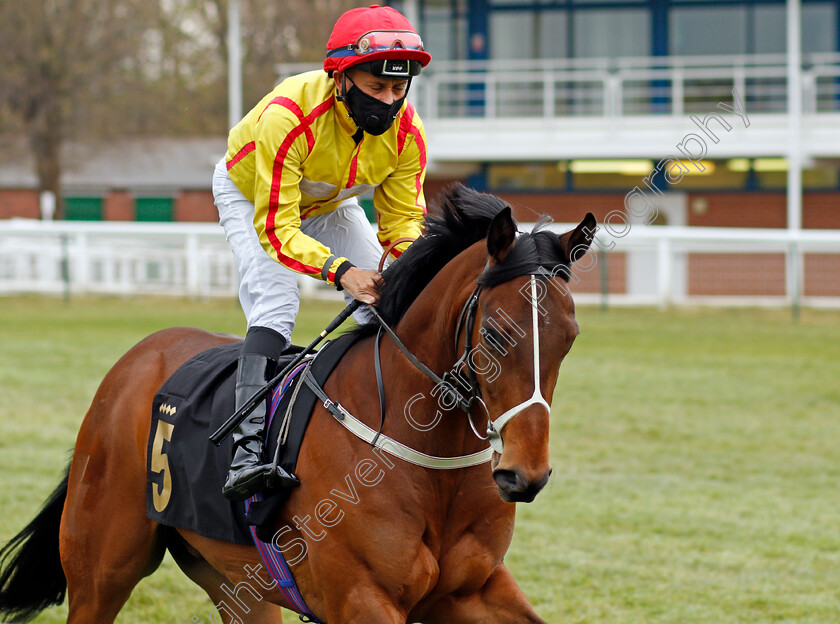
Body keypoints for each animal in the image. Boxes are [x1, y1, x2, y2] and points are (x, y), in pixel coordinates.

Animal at [0, 185, 596, 624]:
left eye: (570, 337)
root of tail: (131, 364)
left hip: (237, 583)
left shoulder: (474, 590)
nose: (526, 474)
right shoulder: (363, 599)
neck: (429, 460)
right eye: (495, 335)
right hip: (103, 571)